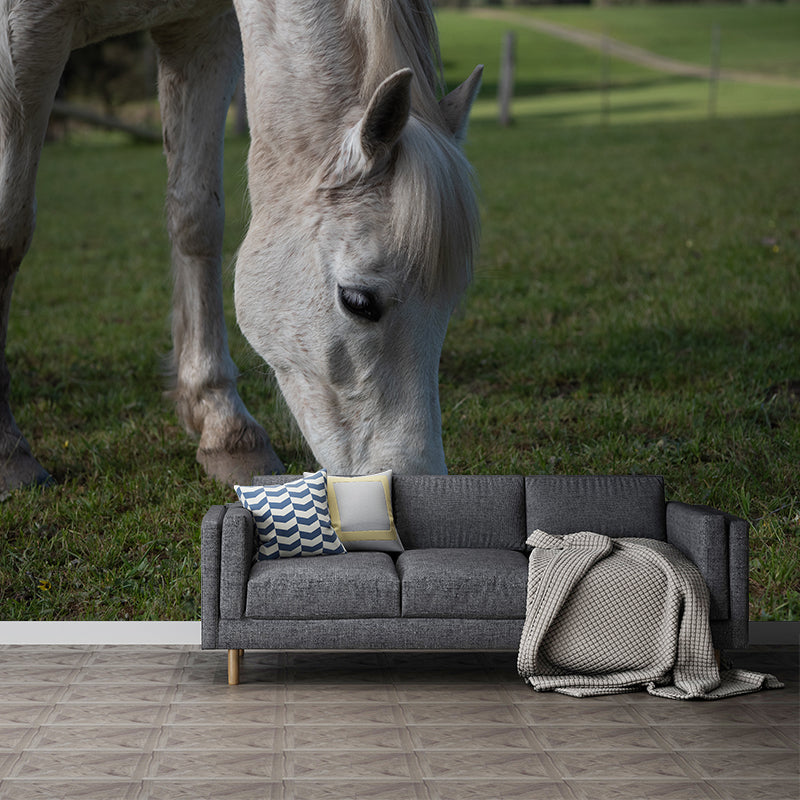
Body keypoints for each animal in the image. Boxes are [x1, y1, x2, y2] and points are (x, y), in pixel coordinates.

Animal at [0, 0, 481, 494]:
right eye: (358, 301)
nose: (418, 483)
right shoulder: (25, 35)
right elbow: (9, 228)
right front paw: (9, 453)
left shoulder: (200, 33)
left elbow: (196, 218)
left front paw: (224, 427)